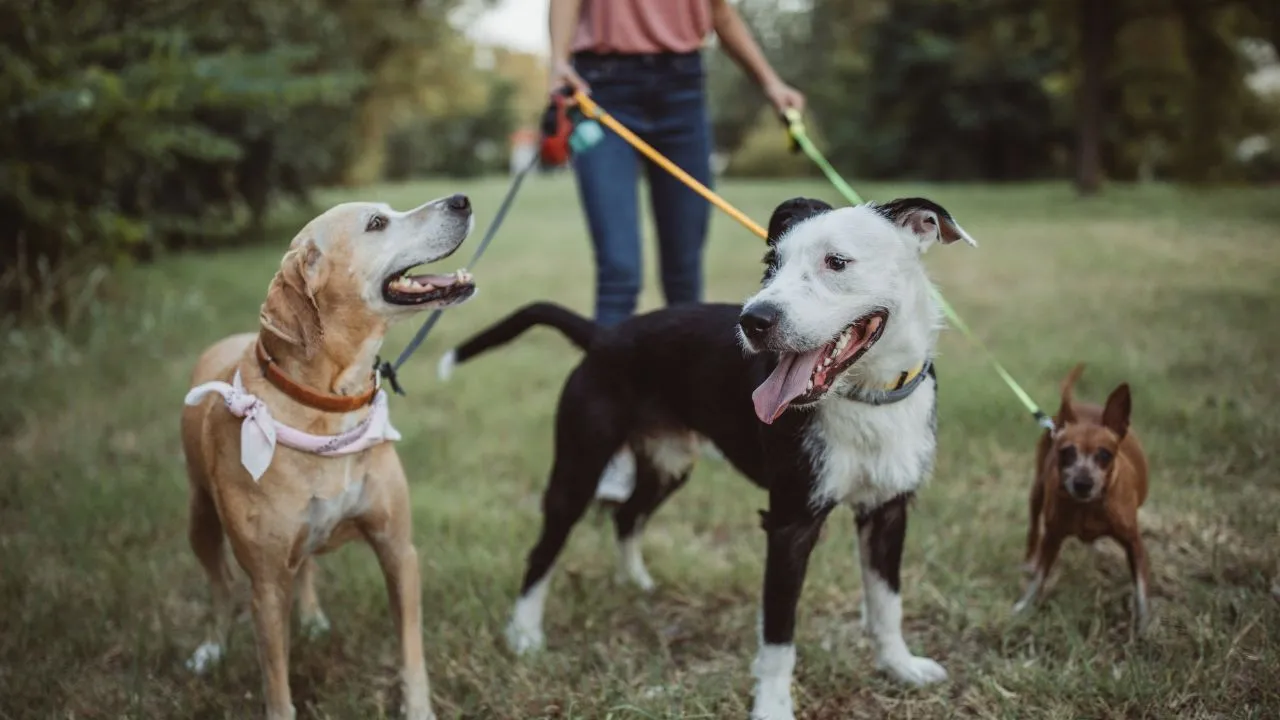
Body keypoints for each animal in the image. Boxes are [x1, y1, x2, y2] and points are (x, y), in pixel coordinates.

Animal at [183, 193, 478, 717]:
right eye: (377, 223)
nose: (461, 200)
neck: (329, 406)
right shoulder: (266, 587)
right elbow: (276, 683)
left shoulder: (398, 550)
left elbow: (411, 651)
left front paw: (418, 707)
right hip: (199, 517)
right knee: (220, 587)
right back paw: (212, 648)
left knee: (303, 567)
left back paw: (313, 618)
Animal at [440, 197, 967, 717]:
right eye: (770, 264)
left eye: (836, 262)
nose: (753, 321)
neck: (867, 397)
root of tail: (603, 336)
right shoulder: (790, 523)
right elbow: (778, 638)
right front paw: (772, 708)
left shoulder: (888, 511)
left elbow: (887, 603)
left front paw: (900, 667)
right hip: (578, 468)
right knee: (544, 552)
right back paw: (524, 634)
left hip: (668, 465)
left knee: (628, 515)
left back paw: (636, 582)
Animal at [1013, 361, 1157, 625]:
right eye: (1066, 452)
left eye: (1105, 455)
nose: (1083, 483)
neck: (1088, 507)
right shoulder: (1052, 537)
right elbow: (1038, 577)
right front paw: (1023, 607)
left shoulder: (1135, 544)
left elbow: (1141, 591)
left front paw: (1145, 626)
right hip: (1036, 492)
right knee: (1033, 530)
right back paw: (1029, 560)